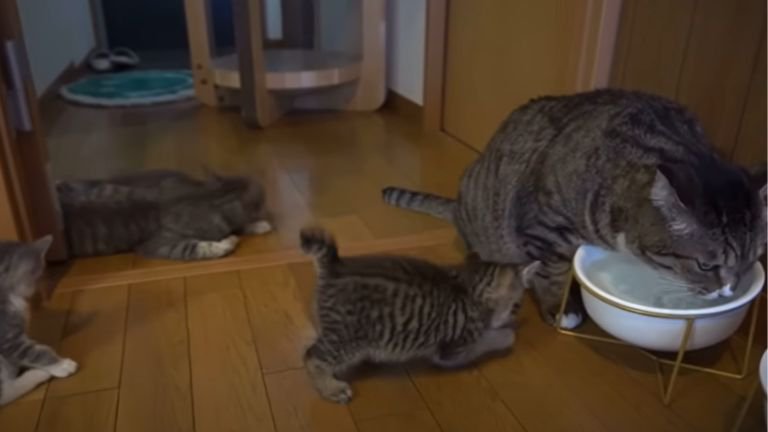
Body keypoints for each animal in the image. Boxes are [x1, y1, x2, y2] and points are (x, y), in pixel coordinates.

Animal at [0, 236, 77, 404]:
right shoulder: (8, 338)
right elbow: (36, 351)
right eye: (34, 273)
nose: (33, 291)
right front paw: (61, 364)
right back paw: (38, 374)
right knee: (4, 393)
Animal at [296, 228, 536, 404]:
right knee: (312, 355)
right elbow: (488, 340)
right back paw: (331, 387)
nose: (514, 316)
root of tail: (335, 268)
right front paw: (507, 333)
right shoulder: (452, 351)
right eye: (517, 305)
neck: (468, 285)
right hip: (348, 336)